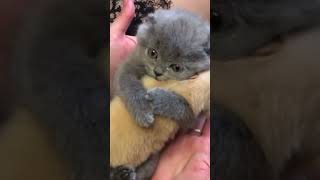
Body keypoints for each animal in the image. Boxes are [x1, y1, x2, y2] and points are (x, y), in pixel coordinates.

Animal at [112, 9, 210, 180]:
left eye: (176, 67)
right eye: (153, 53)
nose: (157, 72)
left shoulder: (193, 119)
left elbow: (185, 109)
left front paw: (159, 99)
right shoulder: (129, 65)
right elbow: (128, 83)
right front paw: (142, 111)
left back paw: (123, 174)